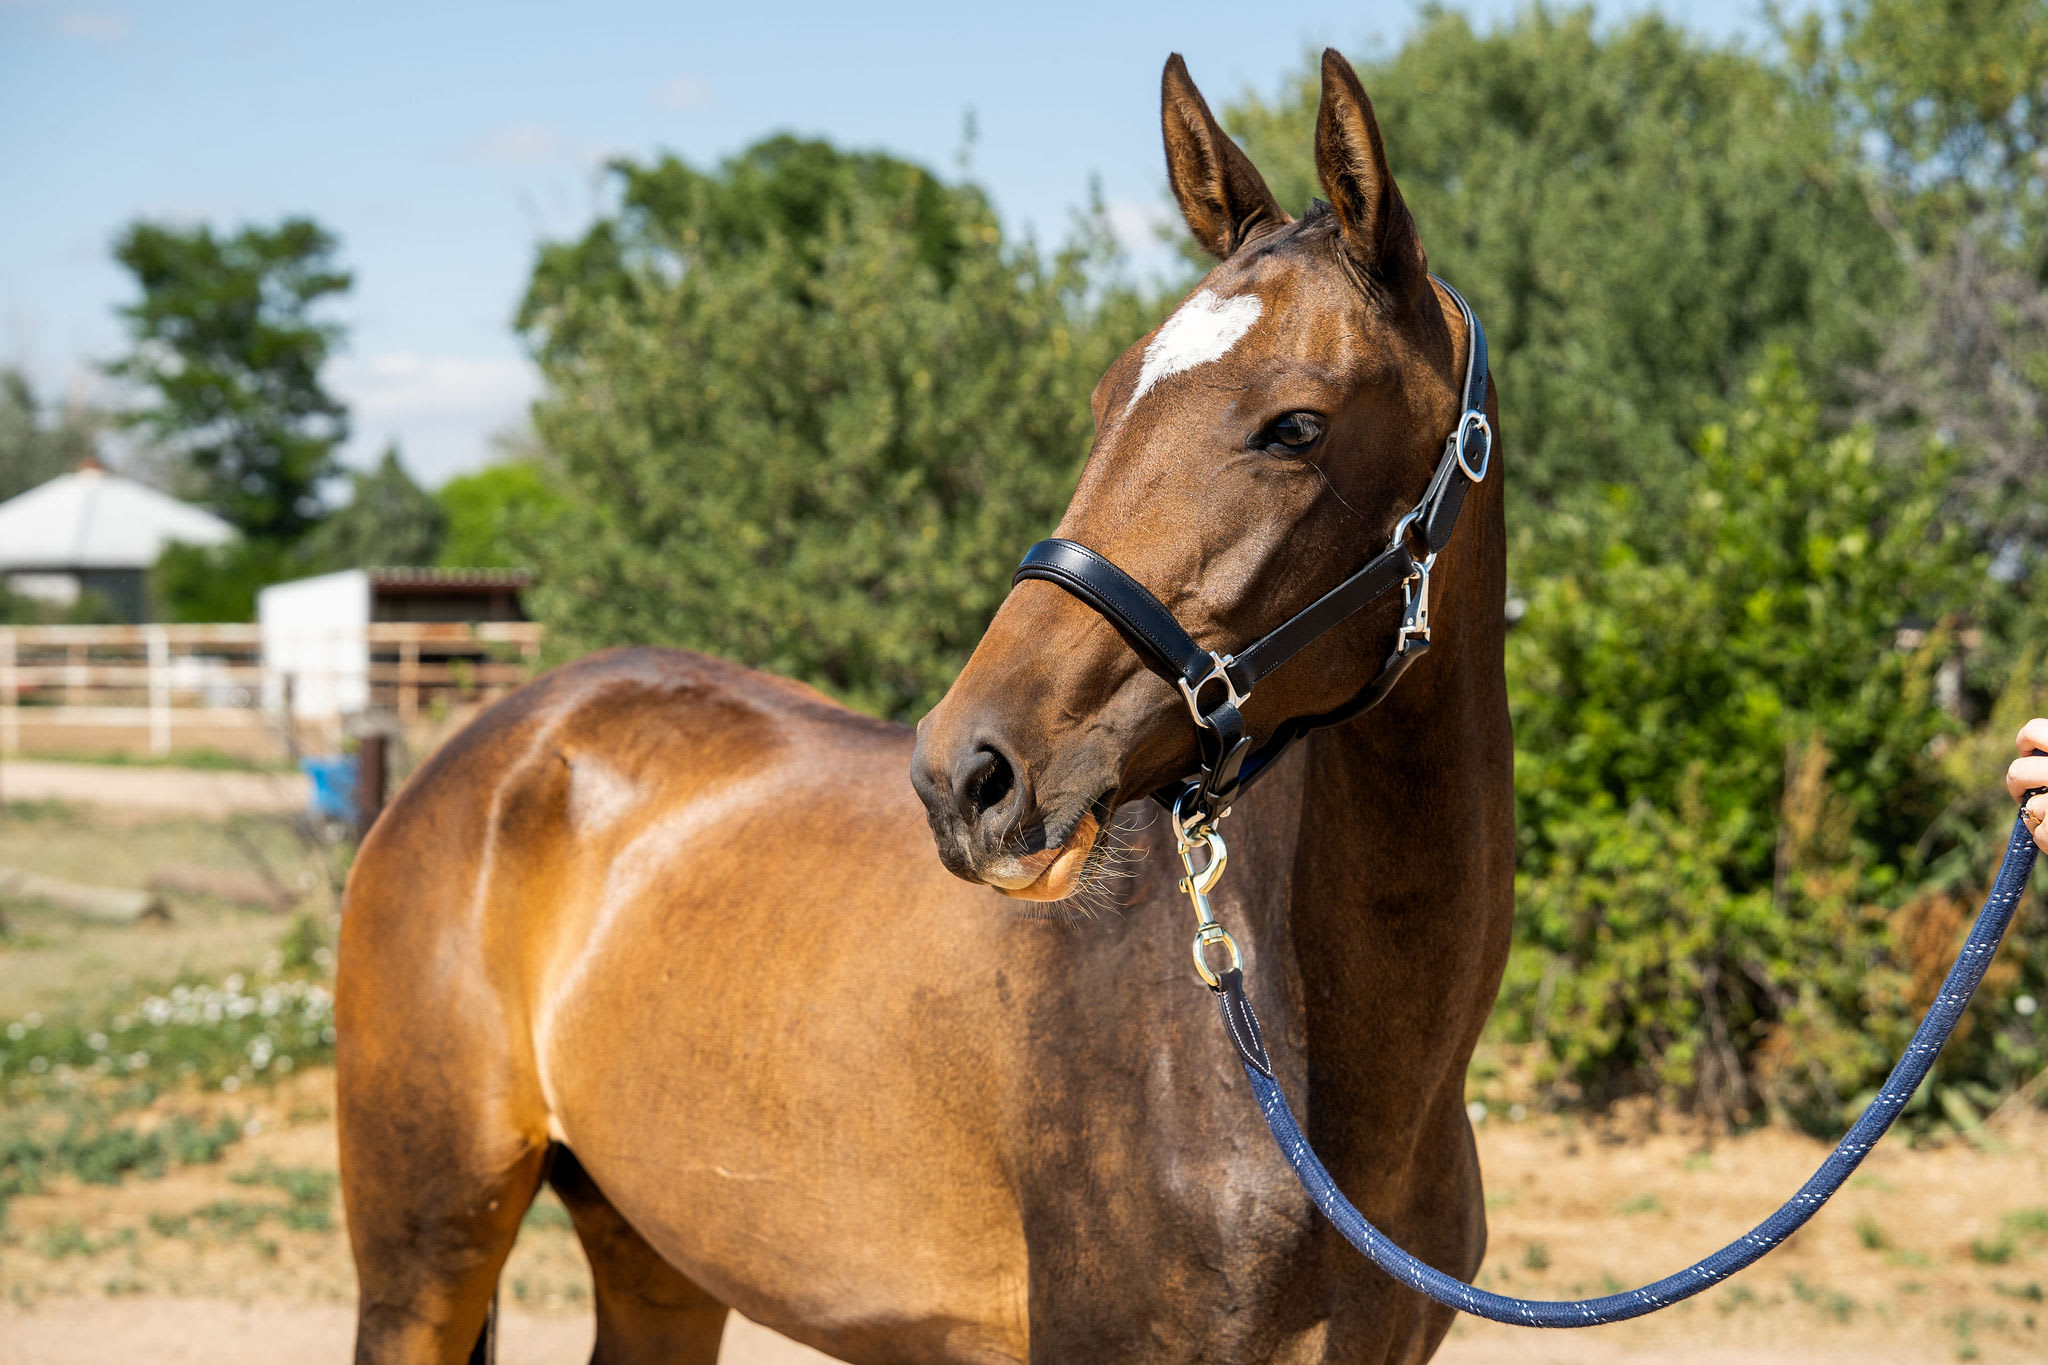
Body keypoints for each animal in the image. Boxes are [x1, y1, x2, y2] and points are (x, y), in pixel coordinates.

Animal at [337, 48, 1511, 1365]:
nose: (969, 775)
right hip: (422, 1262)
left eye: (1295, 426)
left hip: (657, 1260)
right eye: (1105, 398)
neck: (1318, 1098)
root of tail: (493, 745)